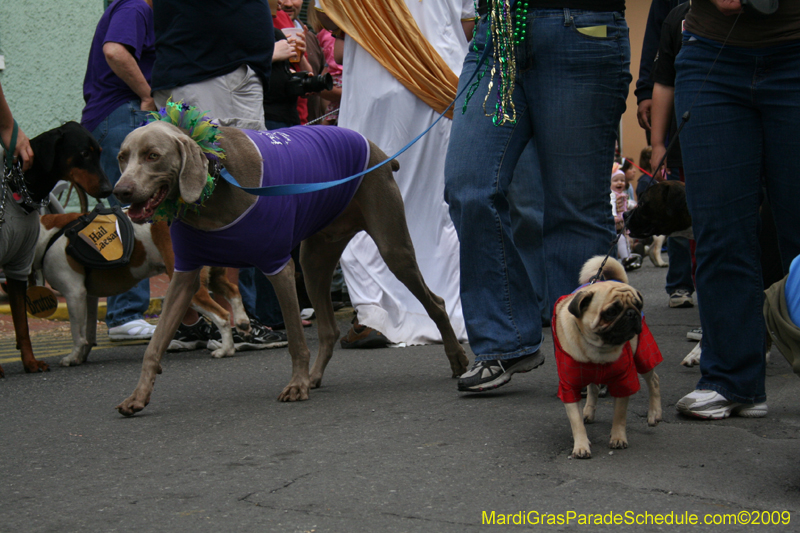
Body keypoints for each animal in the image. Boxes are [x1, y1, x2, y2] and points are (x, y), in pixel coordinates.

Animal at [112, 120, 468, 416]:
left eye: (153, 155)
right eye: (122, 157)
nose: (120, 191)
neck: (214, 189)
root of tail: (376, 148)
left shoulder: (278, 266)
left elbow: (296, 340)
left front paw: (296, 385)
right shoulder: (185, 275)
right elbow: (155, 344)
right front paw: (138, 396)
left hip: (392, 244)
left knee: (435, 302)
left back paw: (457, 359)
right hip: (314, 259)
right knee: (329, 328)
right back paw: (315, 377)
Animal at [552, 256, 664, 456]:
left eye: (638, 304)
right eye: (611, 312)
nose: (632, 313)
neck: (598, 347)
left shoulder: (624, 380)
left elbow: (619, 415)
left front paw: (618, 438)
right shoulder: (569, 386)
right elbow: (575, 421)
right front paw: (581, 445)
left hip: (642, 354)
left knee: (654, 380)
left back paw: (654, 414)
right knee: (593, 388)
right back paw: (588, 412)